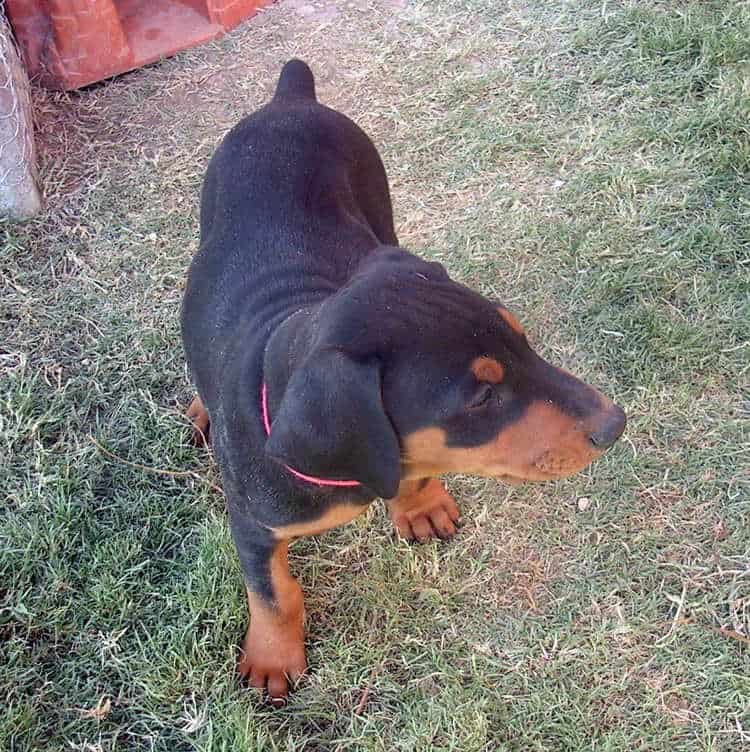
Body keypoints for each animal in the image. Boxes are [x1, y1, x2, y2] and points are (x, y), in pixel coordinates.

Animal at [182, 58, 628, 704]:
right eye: (482, 396)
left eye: (523, 340)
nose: (615, 424)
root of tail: (289, 98)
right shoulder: (252, 523)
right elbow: (273, 593)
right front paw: (271, 658)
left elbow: (416, 471)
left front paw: (420, 505)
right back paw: (201, 408)